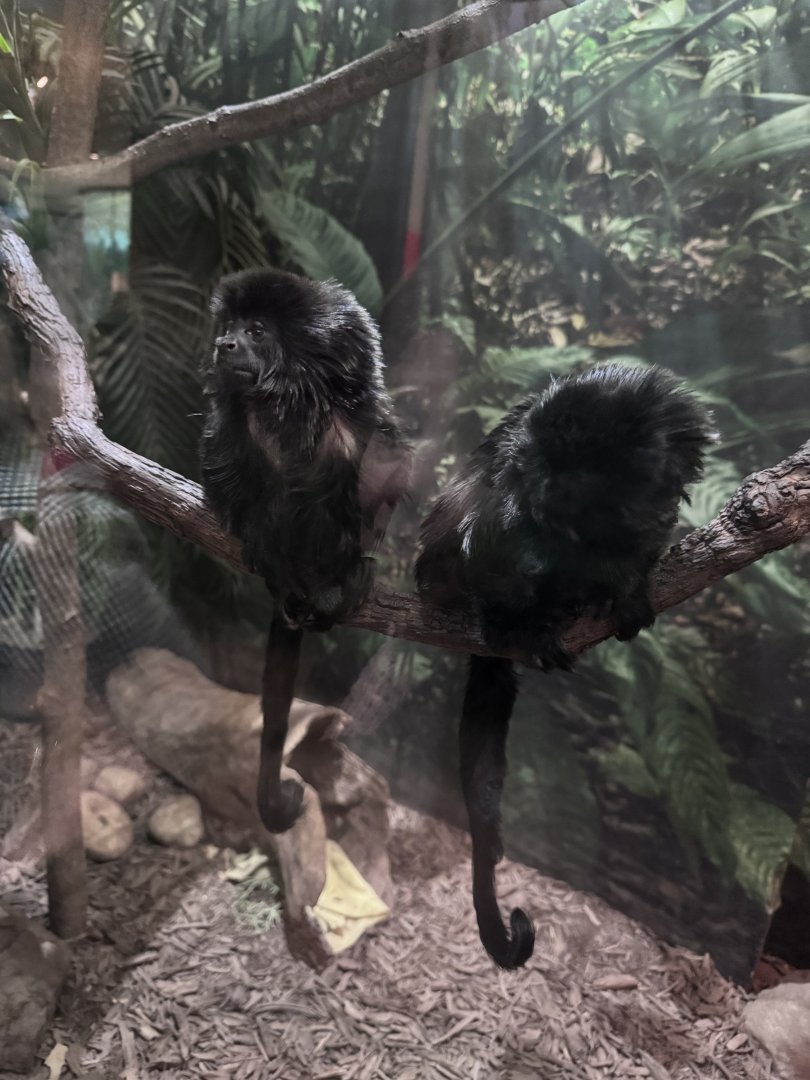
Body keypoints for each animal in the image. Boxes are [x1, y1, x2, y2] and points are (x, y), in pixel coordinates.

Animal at [200, 268, 410, 835]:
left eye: (255, 331)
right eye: (229, 327)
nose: (224, 345)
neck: (287, 406)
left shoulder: (361, 425)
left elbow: (380, 479)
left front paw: (352, 572)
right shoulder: (230, 433)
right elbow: (239, 496)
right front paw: (268, 551)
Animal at [415, 363, 714, 971]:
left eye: (578, 469)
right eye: (541, 463)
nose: (546, 487)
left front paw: (625, 591)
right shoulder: (504, 504)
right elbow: (493, 538)